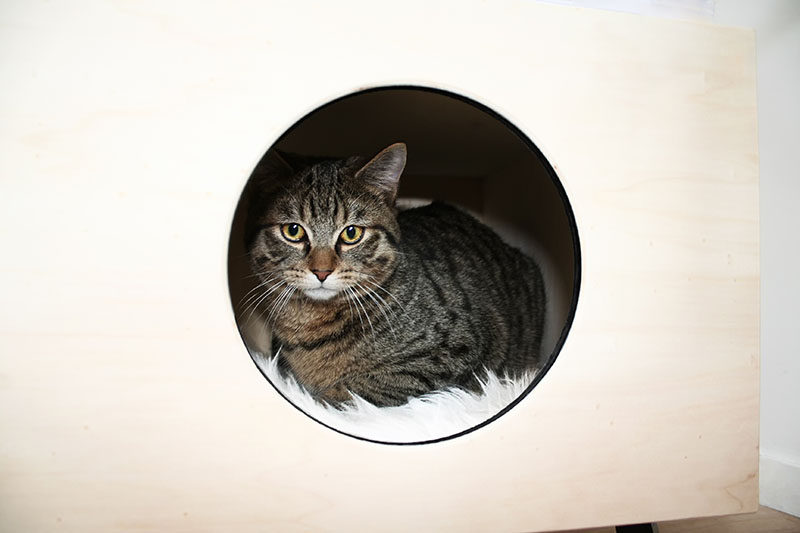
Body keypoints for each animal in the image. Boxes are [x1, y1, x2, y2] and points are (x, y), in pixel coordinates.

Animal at [241, 143, 548, 406]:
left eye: (351, 233)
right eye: (293, 230)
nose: (322, 271)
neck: (312, 321)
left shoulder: (453, 351)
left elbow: (359, 389)